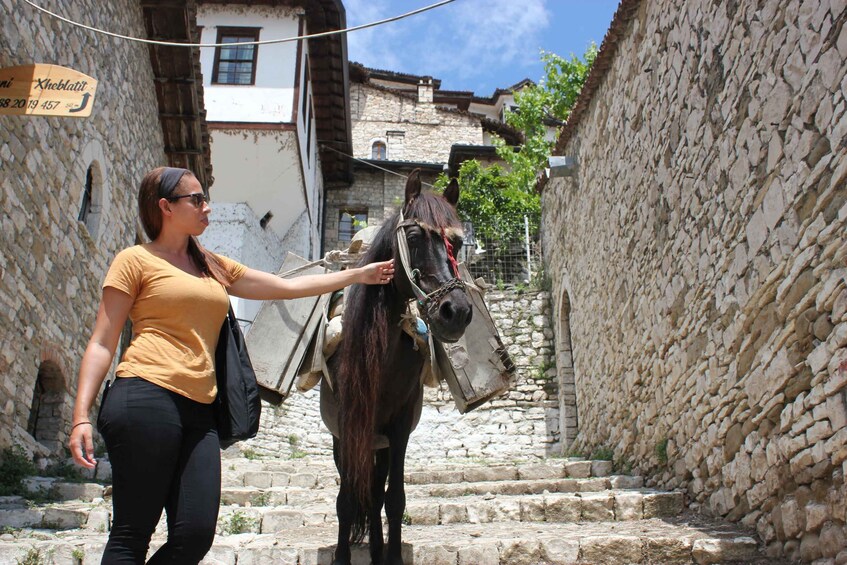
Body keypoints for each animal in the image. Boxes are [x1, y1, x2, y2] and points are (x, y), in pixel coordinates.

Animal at [320, 169, 474, 564]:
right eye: (415, 236)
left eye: (458, 243)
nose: (457, 311)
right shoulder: (347, 429)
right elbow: (347, 501)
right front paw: (342, 556)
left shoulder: (399, 430)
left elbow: (393, 500)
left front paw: (390, 555)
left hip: (382, 443)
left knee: (376, 495)